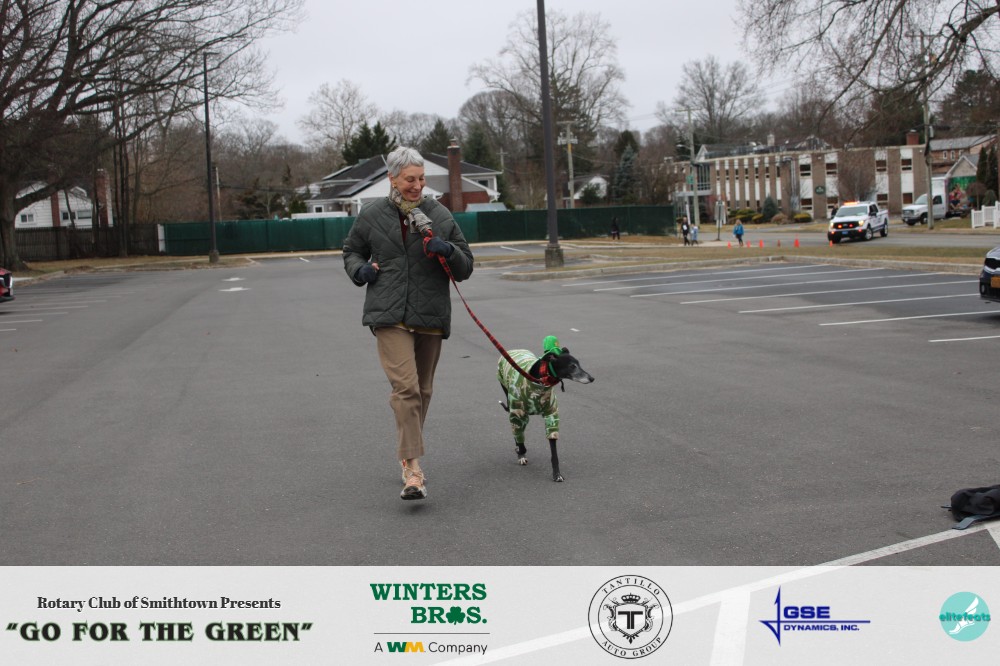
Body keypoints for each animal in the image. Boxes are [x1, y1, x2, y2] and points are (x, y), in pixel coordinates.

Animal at [497, 338, 594, 482]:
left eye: (579, 364)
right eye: (572, 366)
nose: (592, 378)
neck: (539, 381)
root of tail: (514, 350)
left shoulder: (551, 416)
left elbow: (554, 450)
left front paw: (557, 474)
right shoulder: (517, 414)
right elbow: (520, 442)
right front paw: (520, 453)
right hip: (511, 402)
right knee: (517, 432)